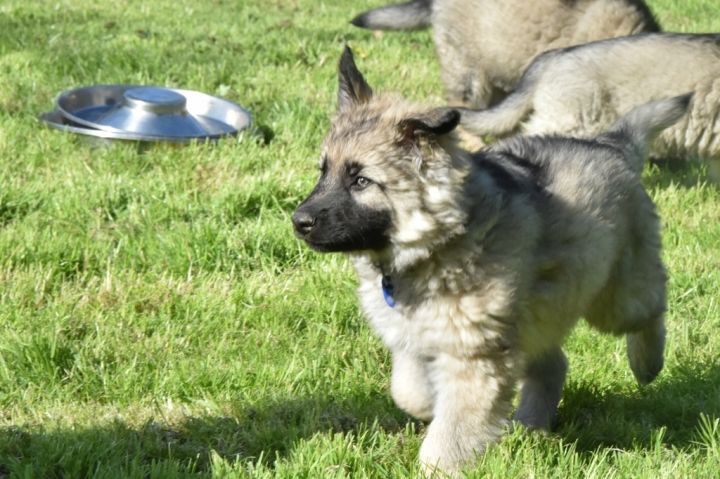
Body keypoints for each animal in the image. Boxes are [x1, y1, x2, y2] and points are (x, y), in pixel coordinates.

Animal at [293, 47, 687, 475]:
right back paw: (531, 426)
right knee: (553, 363)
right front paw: (428, 405)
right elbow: (407, 389)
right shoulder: (412, 337)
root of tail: (610, 144)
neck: (435, 245)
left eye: (361, 181)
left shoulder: (475, 355)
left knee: (650, 308)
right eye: (323, 172)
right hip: (539, 311)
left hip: (614, 296)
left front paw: (438, 465)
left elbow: (451, 430)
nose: (299, 222)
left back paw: (647, 363)